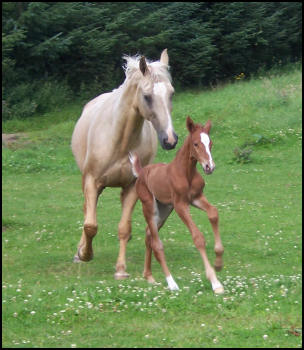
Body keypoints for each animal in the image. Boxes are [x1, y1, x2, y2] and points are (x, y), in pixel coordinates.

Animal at [129, 117, 224, 292]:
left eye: (210, 143)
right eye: (196, 144)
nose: (209, 167)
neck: (186, 172)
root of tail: (141, 172)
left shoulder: (196, 198)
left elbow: (213, 212)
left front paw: (218, 263)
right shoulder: (180, 205)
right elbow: (198, 237)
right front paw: (215, 282)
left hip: (164, 210)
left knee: (148, 235)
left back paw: (149, 276)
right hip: (150, 207)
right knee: (157, 243)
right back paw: (171, 283)